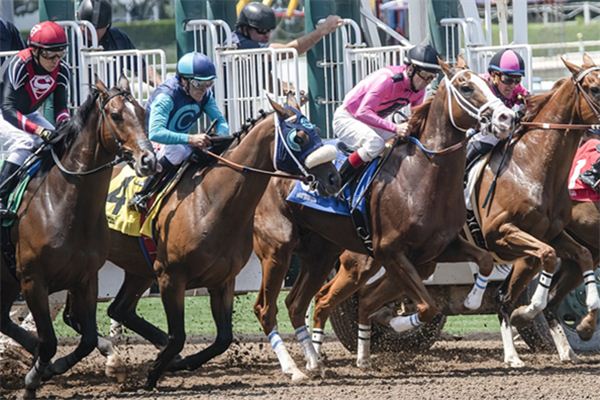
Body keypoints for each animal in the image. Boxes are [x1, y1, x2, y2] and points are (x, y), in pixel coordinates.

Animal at [0, 76, 157, 396]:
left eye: (142, 113)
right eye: (116, 115)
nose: (148, 160)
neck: (62, 203)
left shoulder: (85, 278)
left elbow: (86, 340)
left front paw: (51, 367)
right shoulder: (33, 280)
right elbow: (49, 341)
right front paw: (33, 380)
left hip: (6, 280)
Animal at [102, 95, 338, 390]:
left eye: (317, 131)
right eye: (300, 137)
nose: (334, 178)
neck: (210, 201)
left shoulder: (223, 280)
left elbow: (223, 339)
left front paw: (179, 362)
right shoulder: (171, 277)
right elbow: (178, 336)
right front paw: (153, 376)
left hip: (139, 269)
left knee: (118, 308)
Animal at [251, 57, 512, 382]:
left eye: (487, 84)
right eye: (466, 87)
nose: (506, 117)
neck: (422, 174)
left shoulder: (434, 252)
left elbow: (485, 260)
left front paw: (473, 300)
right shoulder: (391, 251)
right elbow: (426, 306)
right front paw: (399, 325)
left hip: (323, 255)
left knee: (300, 303)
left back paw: (317, 361)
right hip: (278, 252)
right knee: (267, 307)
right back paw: (296, 367)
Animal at [314, 56, 600, 368]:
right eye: (595, 88)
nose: (505, 118)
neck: (532, 165)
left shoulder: (552, 234)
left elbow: (580, 256)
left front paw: (586, 319)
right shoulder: (501, 233)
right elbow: (539, 266)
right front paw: (526, 318)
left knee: (364, 300)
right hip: (365, 262)